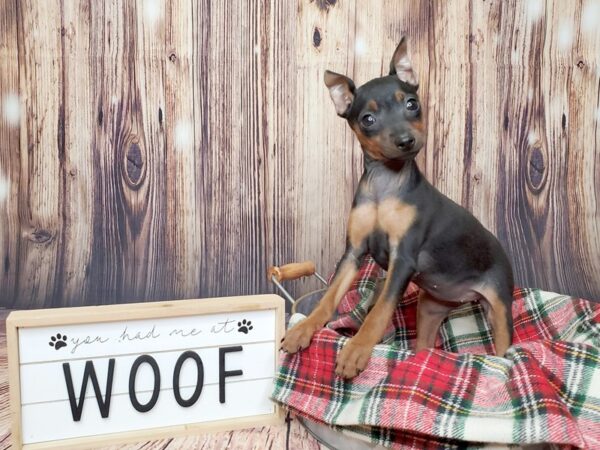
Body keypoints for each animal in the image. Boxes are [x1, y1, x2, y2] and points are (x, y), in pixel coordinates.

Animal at [282, 37, 516, 378]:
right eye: (367, 119)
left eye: (411, 104)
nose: (406, 140)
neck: (386, 184)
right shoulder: (353, 254)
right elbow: (329, 297)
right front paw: (303, 329)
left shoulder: (402, 259)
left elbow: (379, 310)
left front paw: (357, 349)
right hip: (430, 307)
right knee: (424, 347)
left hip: (498, 307)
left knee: (503, 347)